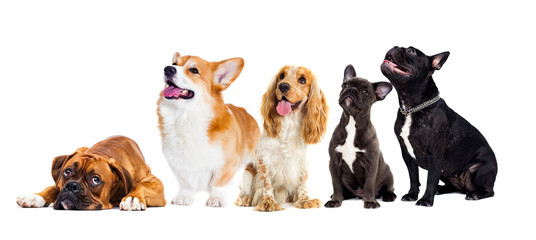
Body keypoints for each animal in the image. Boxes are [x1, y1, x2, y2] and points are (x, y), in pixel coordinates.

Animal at [16, 136, 165, 211]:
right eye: (67, 172)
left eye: (95, 179)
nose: (72, 186)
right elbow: (53, 187)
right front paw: (36, 196)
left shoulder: (157, 184)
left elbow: (140, 185)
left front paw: (133, 197)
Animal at [157, 52, 260, 206]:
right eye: (175, 64)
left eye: (194, 70)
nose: (167, 69)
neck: (186, 117)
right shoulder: (178, 164)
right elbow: (186, 183)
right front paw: (184, 197)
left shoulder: (227, 164)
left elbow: (218, 183)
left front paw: (215, 199)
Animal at [382, 46, 498, 206]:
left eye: (411, 51)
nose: (396, 46)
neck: (412, 108)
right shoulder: (407, 155)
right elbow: (413, 177)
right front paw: (412, 194)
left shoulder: (435, 155)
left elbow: (430, 179)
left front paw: (426, 200)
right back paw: (440, 190)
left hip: (479, 170)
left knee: (489, 190)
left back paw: (475, 194)